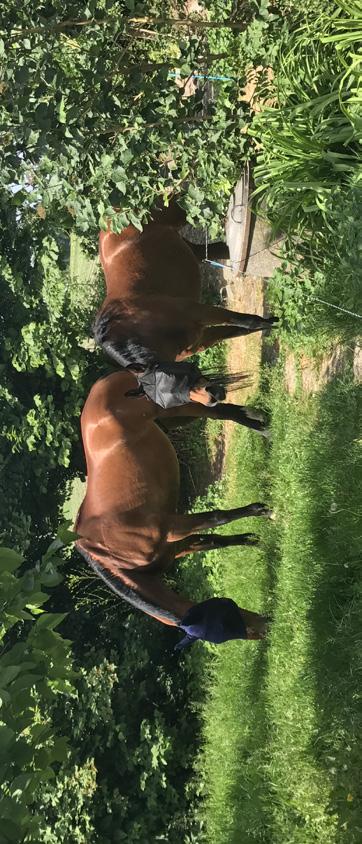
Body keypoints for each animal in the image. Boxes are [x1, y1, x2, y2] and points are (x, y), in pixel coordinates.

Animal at [74, 372, 272, 648]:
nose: (270, 628)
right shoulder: (177, 545)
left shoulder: (173, 526)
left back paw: (265, 428)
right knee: (223, 411)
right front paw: (250, 538)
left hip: (174, 409)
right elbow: (213, 538)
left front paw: (260, 510)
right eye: (229, 628)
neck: (111, 553)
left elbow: (217, 517)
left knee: (220, 413)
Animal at [94, 198, 278, 408]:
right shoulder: (203, 338)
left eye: (170, 377)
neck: (140, 331)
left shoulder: (201, 312)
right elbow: (238, 331)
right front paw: (269, 325)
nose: (213, 398)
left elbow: (246, 322)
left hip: (179, 212)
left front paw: (268, 323)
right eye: (168, 403)